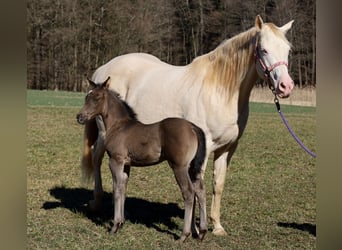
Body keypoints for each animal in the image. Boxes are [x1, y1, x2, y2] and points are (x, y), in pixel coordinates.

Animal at [76, 77, 207, 241]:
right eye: (86, 97)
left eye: (97, 98)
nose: (80, 117)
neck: (119, 126)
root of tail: (192, 127)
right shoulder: (126, 165)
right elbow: (123, 188)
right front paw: (121, 222)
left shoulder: (115, 161)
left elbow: (116, 189)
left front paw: (114, 226)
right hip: (192, 167)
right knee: (200, 191)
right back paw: (202, 232)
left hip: (179, 167)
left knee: (189, 193)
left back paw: (184, 235)